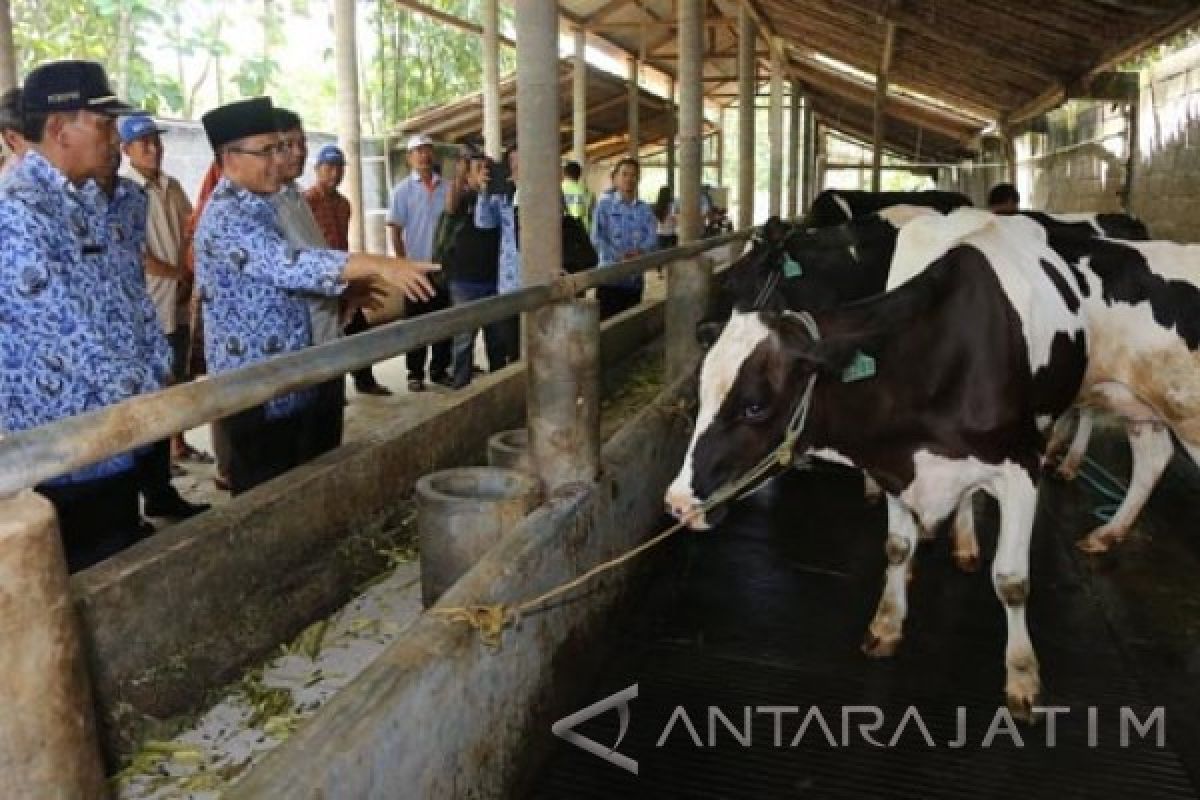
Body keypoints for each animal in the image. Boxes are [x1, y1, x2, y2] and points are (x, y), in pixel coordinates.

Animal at [667, 211, 1200, 714]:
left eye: (755, 406)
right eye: (701, 395)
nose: (676, 503)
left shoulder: (1020, 468)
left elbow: (1012, 581)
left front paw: (1022, 676)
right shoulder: (896, 460)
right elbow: (897, 548)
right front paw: (887, 623)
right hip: (1136, 403)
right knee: (1151, 457)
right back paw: (1106, 533)